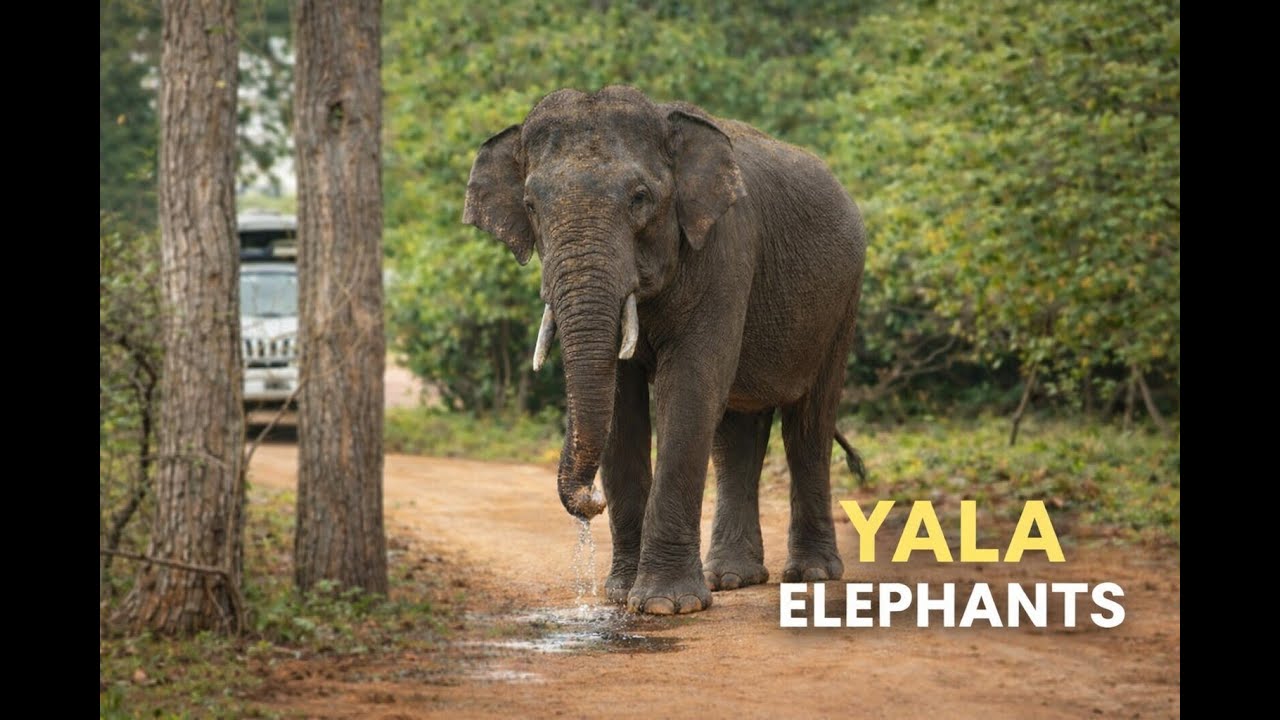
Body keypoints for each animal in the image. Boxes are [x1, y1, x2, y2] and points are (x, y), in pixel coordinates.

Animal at [463, 86, 866, 615]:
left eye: (640, 199)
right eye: (530, 206)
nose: (590, 502)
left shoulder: (725, 249)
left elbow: (691, 385)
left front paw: (665, 605)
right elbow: (623, 402)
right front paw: (620, 595)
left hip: (843, 300)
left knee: (809, 425)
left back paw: (811, 575)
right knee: (737, 432)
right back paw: (731, 578)